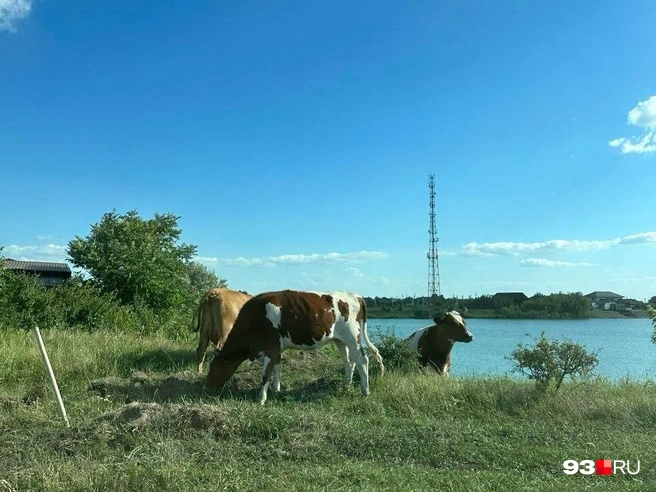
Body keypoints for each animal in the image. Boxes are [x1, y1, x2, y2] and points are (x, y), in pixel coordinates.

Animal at [205, 288, 384, 404]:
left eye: (213, 368)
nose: (206, 387)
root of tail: (356, 295)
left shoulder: (270, 348)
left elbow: (265, 374)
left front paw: (261, 399)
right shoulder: (276, 349)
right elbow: (276, 369)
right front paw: (276, 390)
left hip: (353, 336)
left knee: (362, 360)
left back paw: (365, 392)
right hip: (340, 339)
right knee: (349, 362)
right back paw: (346, 387)